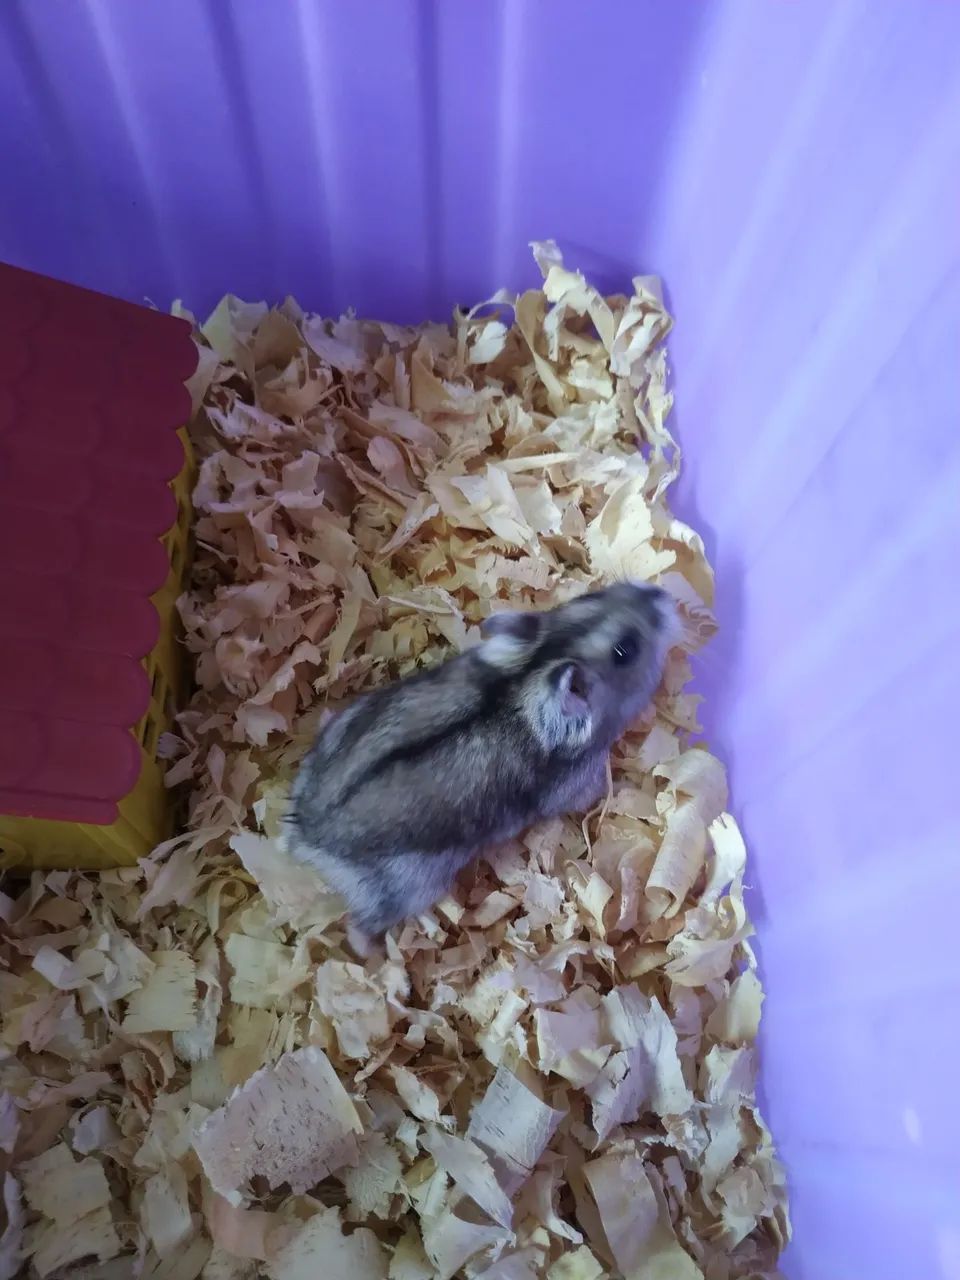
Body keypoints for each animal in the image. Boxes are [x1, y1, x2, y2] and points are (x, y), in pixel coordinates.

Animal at [286, 582, 680, 940]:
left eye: (592, 594)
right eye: (625, 650)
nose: (664, 593)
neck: (529, 673)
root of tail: (303, 832)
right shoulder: (578, 786)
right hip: (408, 885)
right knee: (362, 925)